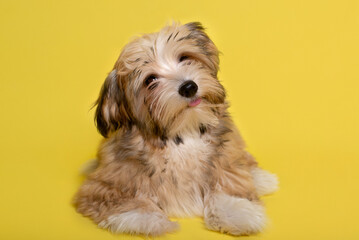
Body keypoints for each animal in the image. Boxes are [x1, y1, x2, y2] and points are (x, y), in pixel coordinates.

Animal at [75, 21, 278, 235]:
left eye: (184, 58)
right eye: (150, 80)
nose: (189, 87)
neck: (183, 134)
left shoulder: (225, 157)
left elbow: (227, 183)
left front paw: (236, 212)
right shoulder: (103, 185)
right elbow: (127, 204)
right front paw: (151, 220)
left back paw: (262, 179)